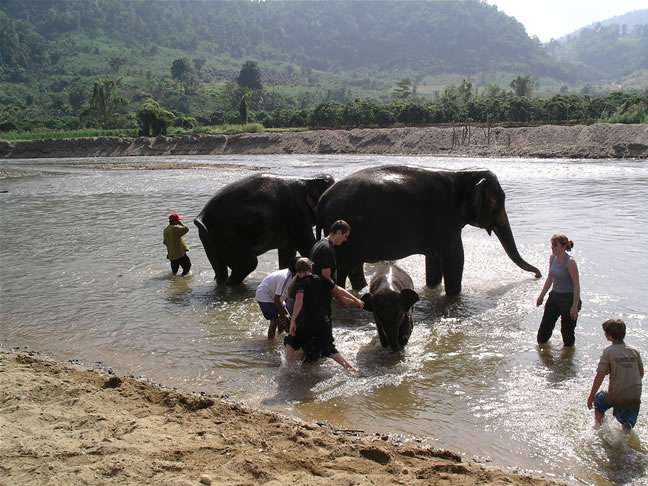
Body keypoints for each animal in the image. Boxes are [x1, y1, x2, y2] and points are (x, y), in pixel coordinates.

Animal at [194, 173, 334, 284]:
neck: (308, 179)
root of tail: (203, 215)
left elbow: (288, 251)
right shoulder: (296, 211)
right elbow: (306, 244)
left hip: (208, 237)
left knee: (220, 269)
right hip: (227, 234)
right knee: (248, 263)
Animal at [315, 165, 541, 296]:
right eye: (498, 202)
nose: (538, 275)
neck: (464, 174)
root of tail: (322, 201)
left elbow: (434, 258)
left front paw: (432, 287)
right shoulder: (445, 218)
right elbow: (455, 257)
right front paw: (453, 297)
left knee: (355, 266)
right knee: (341, 270)